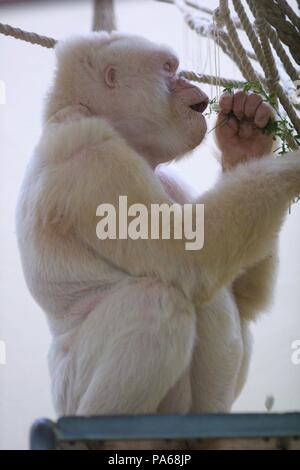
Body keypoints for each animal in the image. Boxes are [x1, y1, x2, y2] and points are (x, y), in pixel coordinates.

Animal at [17, 31, 300, 416]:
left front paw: (247, 142)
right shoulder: (91, 154)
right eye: (168, 68)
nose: (185, 81)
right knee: (156, 300)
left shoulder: (168, 179)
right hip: (70, 389)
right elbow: (190, 254)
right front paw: (292, 167)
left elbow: (245, 295)